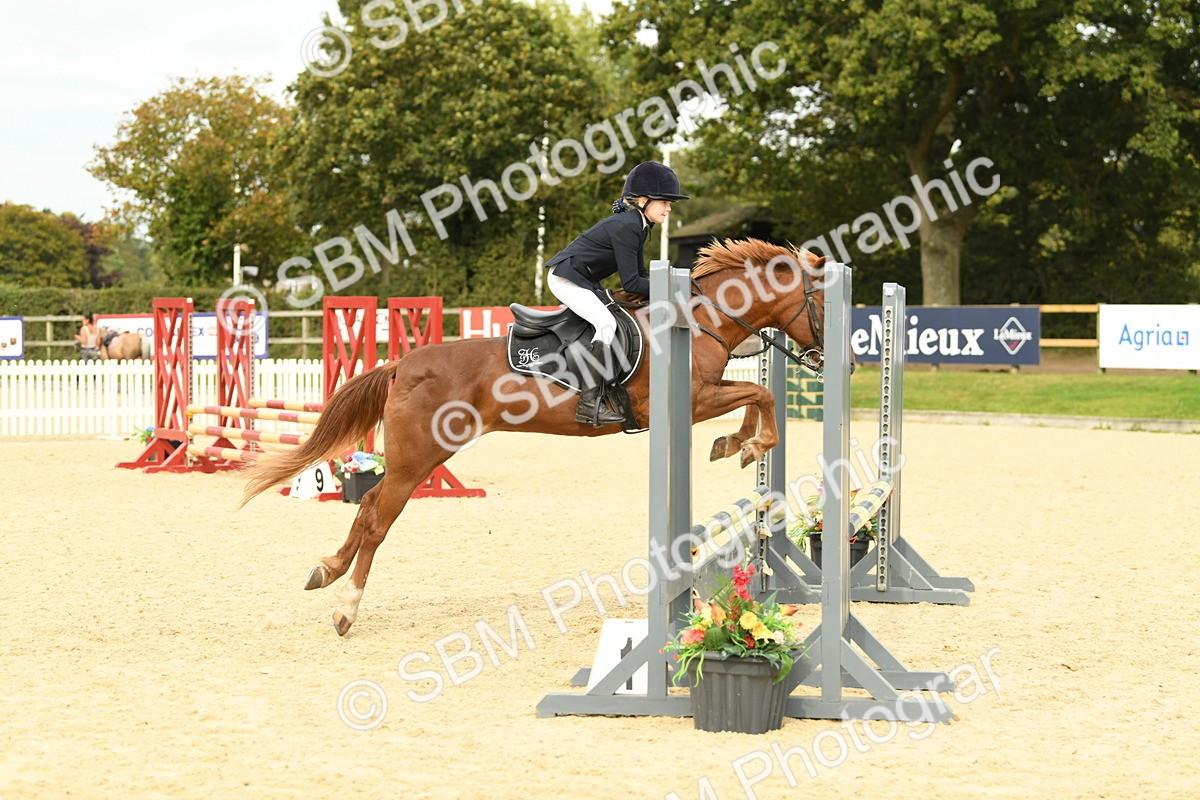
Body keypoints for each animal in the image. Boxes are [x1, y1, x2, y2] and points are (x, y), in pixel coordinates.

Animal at [242, 238, 833, 636]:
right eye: (824, 305)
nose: (834, 362)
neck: (698, 317)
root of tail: (401, 364)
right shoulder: (693, 401)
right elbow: (762, 395)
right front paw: (746, 446)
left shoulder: (705, 394)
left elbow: (758, 394)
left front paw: (735, 446)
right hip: (417, 460)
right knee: (377, 521)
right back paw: (346, 609)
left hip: (415, 459)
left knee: (366, 509)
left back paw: (326, 572)